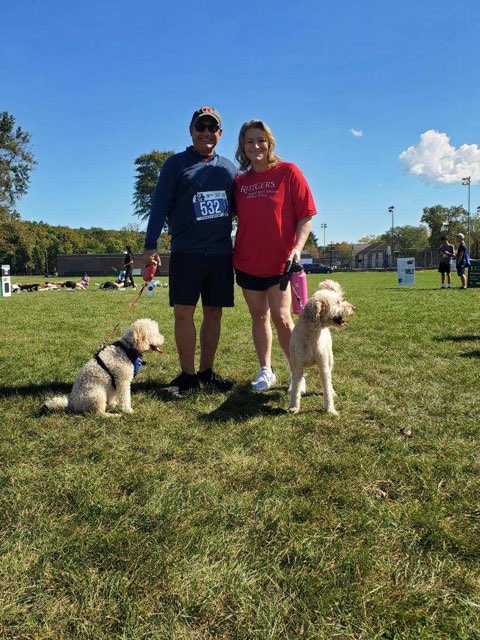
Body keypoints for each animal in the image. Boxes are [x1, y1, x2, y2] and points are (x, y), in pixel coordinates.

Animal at [288, 280, 355, 416]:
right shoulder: (297, 366)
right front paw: (294, 407)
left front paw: (330, 409)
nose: (354, 308)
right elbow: (295, 388)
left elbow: (327, 388)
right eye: (338, 302)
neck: (310, 337)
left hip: (330, 359)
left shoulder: (323, 365)